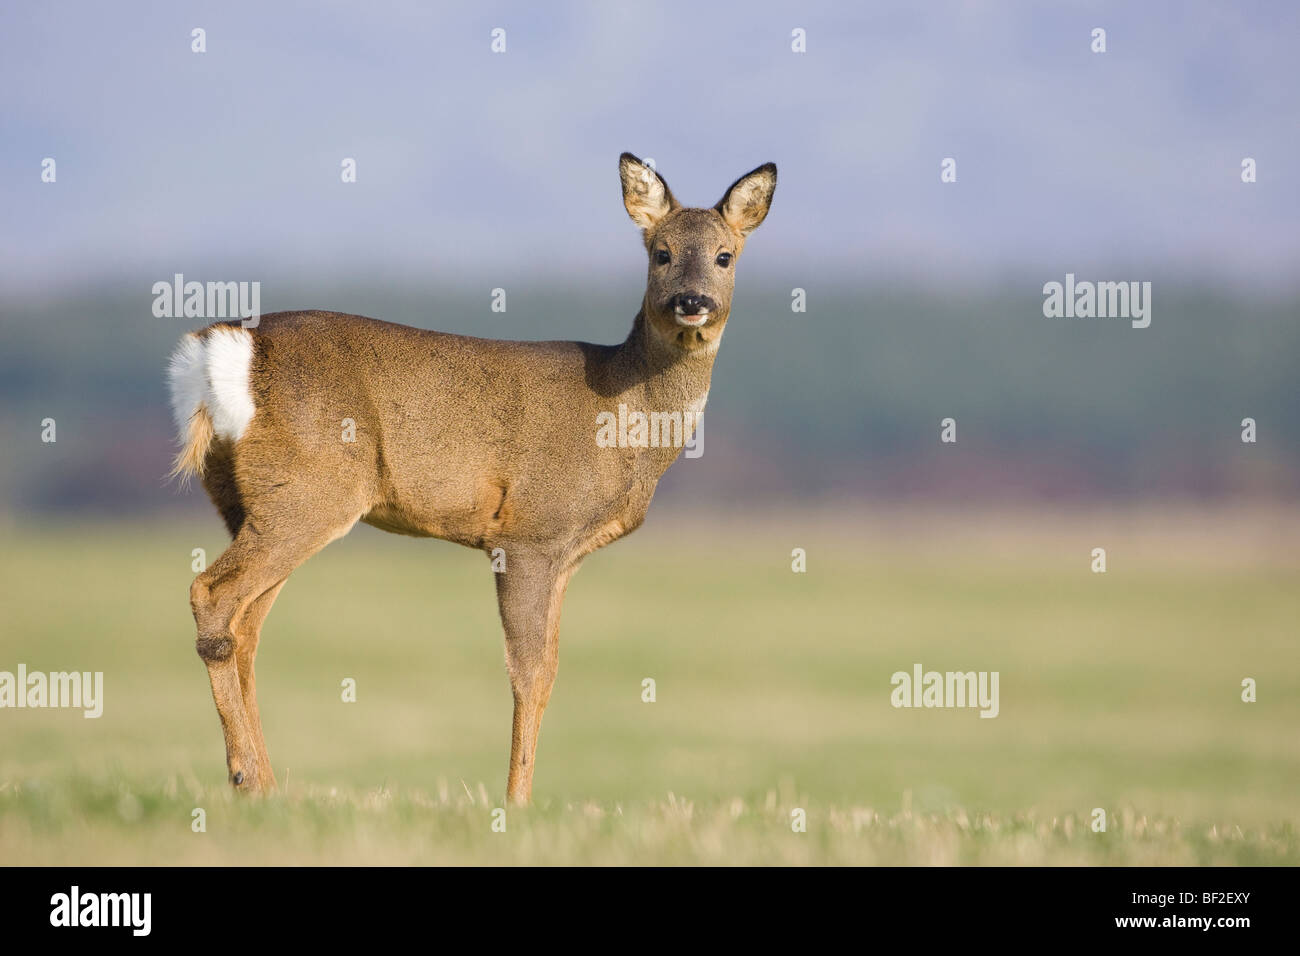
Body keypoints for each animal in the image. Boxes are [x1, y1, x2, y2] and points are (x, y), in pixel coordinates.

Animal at [170, 155, 780, 801]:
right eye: (660, 252)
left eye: (725, 255)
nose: (692, 301)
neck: (625, 420)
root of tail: (225, 350)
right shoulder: (530, 533)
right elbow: (528, 674)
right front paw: (516, 801)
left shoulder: (565, 554)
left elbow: (551, 672)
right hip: (311, 491)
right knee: (212, 595)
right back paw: (245, 776)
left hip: (251, 501)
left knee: (247, 627)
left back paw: (264, 785)